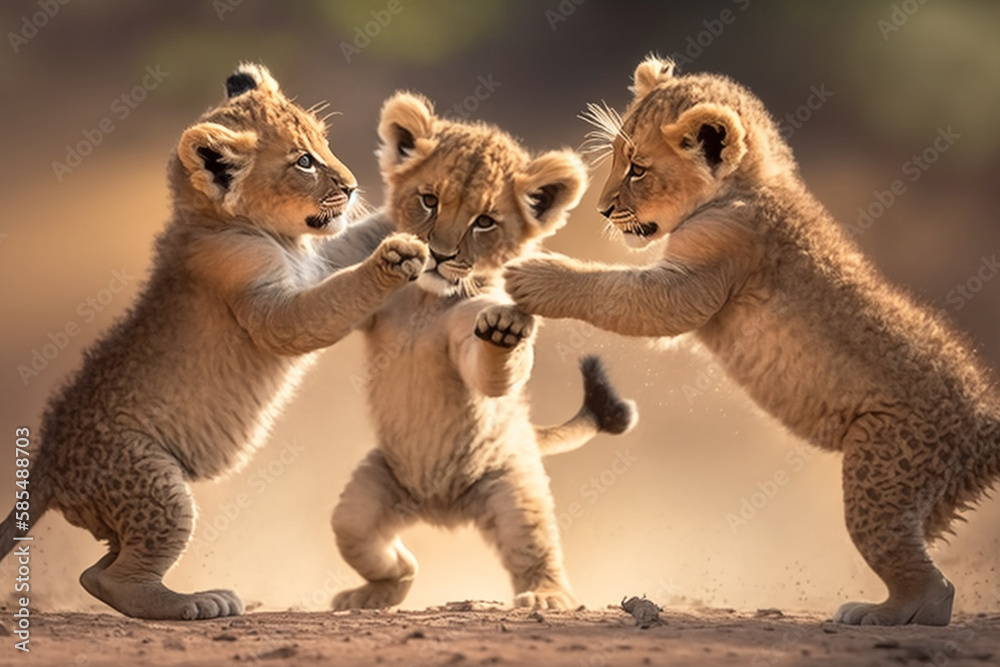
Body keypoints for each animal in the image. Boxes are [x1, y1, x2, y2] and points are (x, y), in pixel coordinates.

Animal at [0, 63, 428, 620]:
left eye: (324, 143)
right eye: (304, 161)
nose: (354, 186)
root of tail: (45, 465)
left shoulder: (318, 260)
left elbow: (352, 244)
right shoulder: (269, 308)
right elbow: (328, 302)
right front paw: (393, 260)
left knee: (98, 568)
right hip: (154, 483)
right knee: (109, 579)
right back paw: (196, 603)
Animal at [330, 92, 638, 611]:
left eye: (485, 222)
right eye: (429, 200)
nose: (439, 255)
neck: (426, 304)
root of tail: (441, 509)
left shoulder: (466, 325)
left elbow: (490, 370)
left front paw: (503, 330)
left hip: (510, 487)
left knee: (535, 546)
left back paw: (546, 596)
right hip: (379, 484)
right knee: (360, 533)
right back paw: (382, 588)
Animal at [504, 56, 1000, 625]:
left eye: (638, 169)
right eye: (614, 160)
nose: (604, 210)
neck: (747, 186)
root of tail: (983, 421)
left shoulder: (696, 279)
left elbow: (614, 292)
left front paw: (535, 274)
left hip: (884, 471)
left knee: (932, 585)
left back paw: (881, 613)